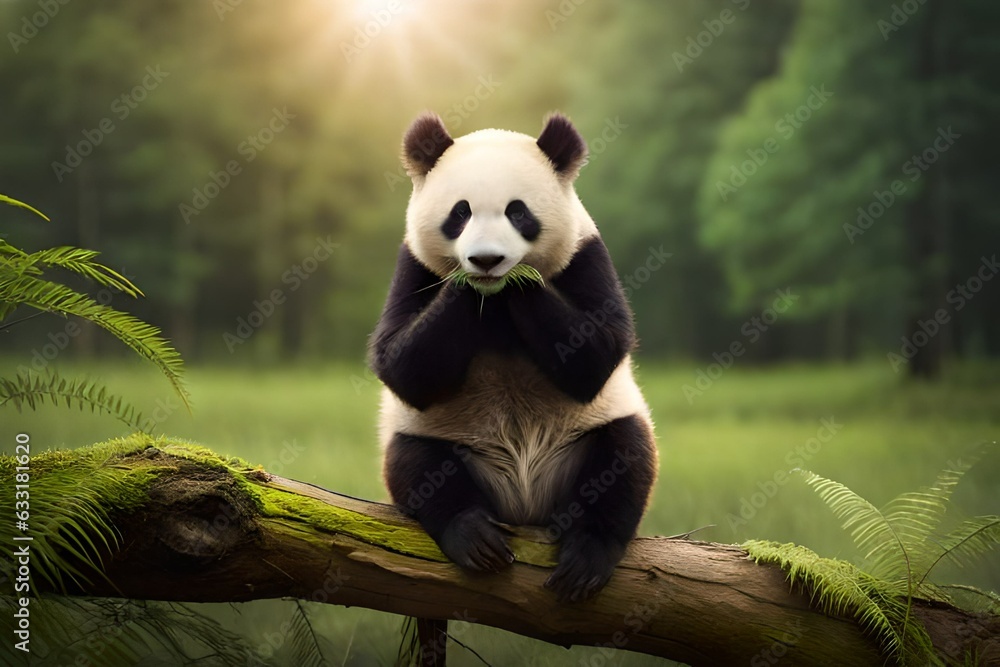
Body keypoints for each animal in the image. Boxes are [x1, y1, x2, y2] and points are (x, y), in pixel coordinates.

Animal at [370, 112, 658, 602]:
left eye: (517, 212)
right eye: (460, 212)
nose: (486, 260)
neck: (495, 301)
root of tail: (524, 506)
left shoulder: (586, 255)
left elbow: (599, 350)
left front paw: (522, 281)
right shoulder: (413, 267)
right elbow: (401, 365)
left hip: (590, 432)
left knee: (624, 456)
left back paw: (586, 558)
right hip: (440, 435)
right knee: (415, 463)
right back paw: (474, 537)